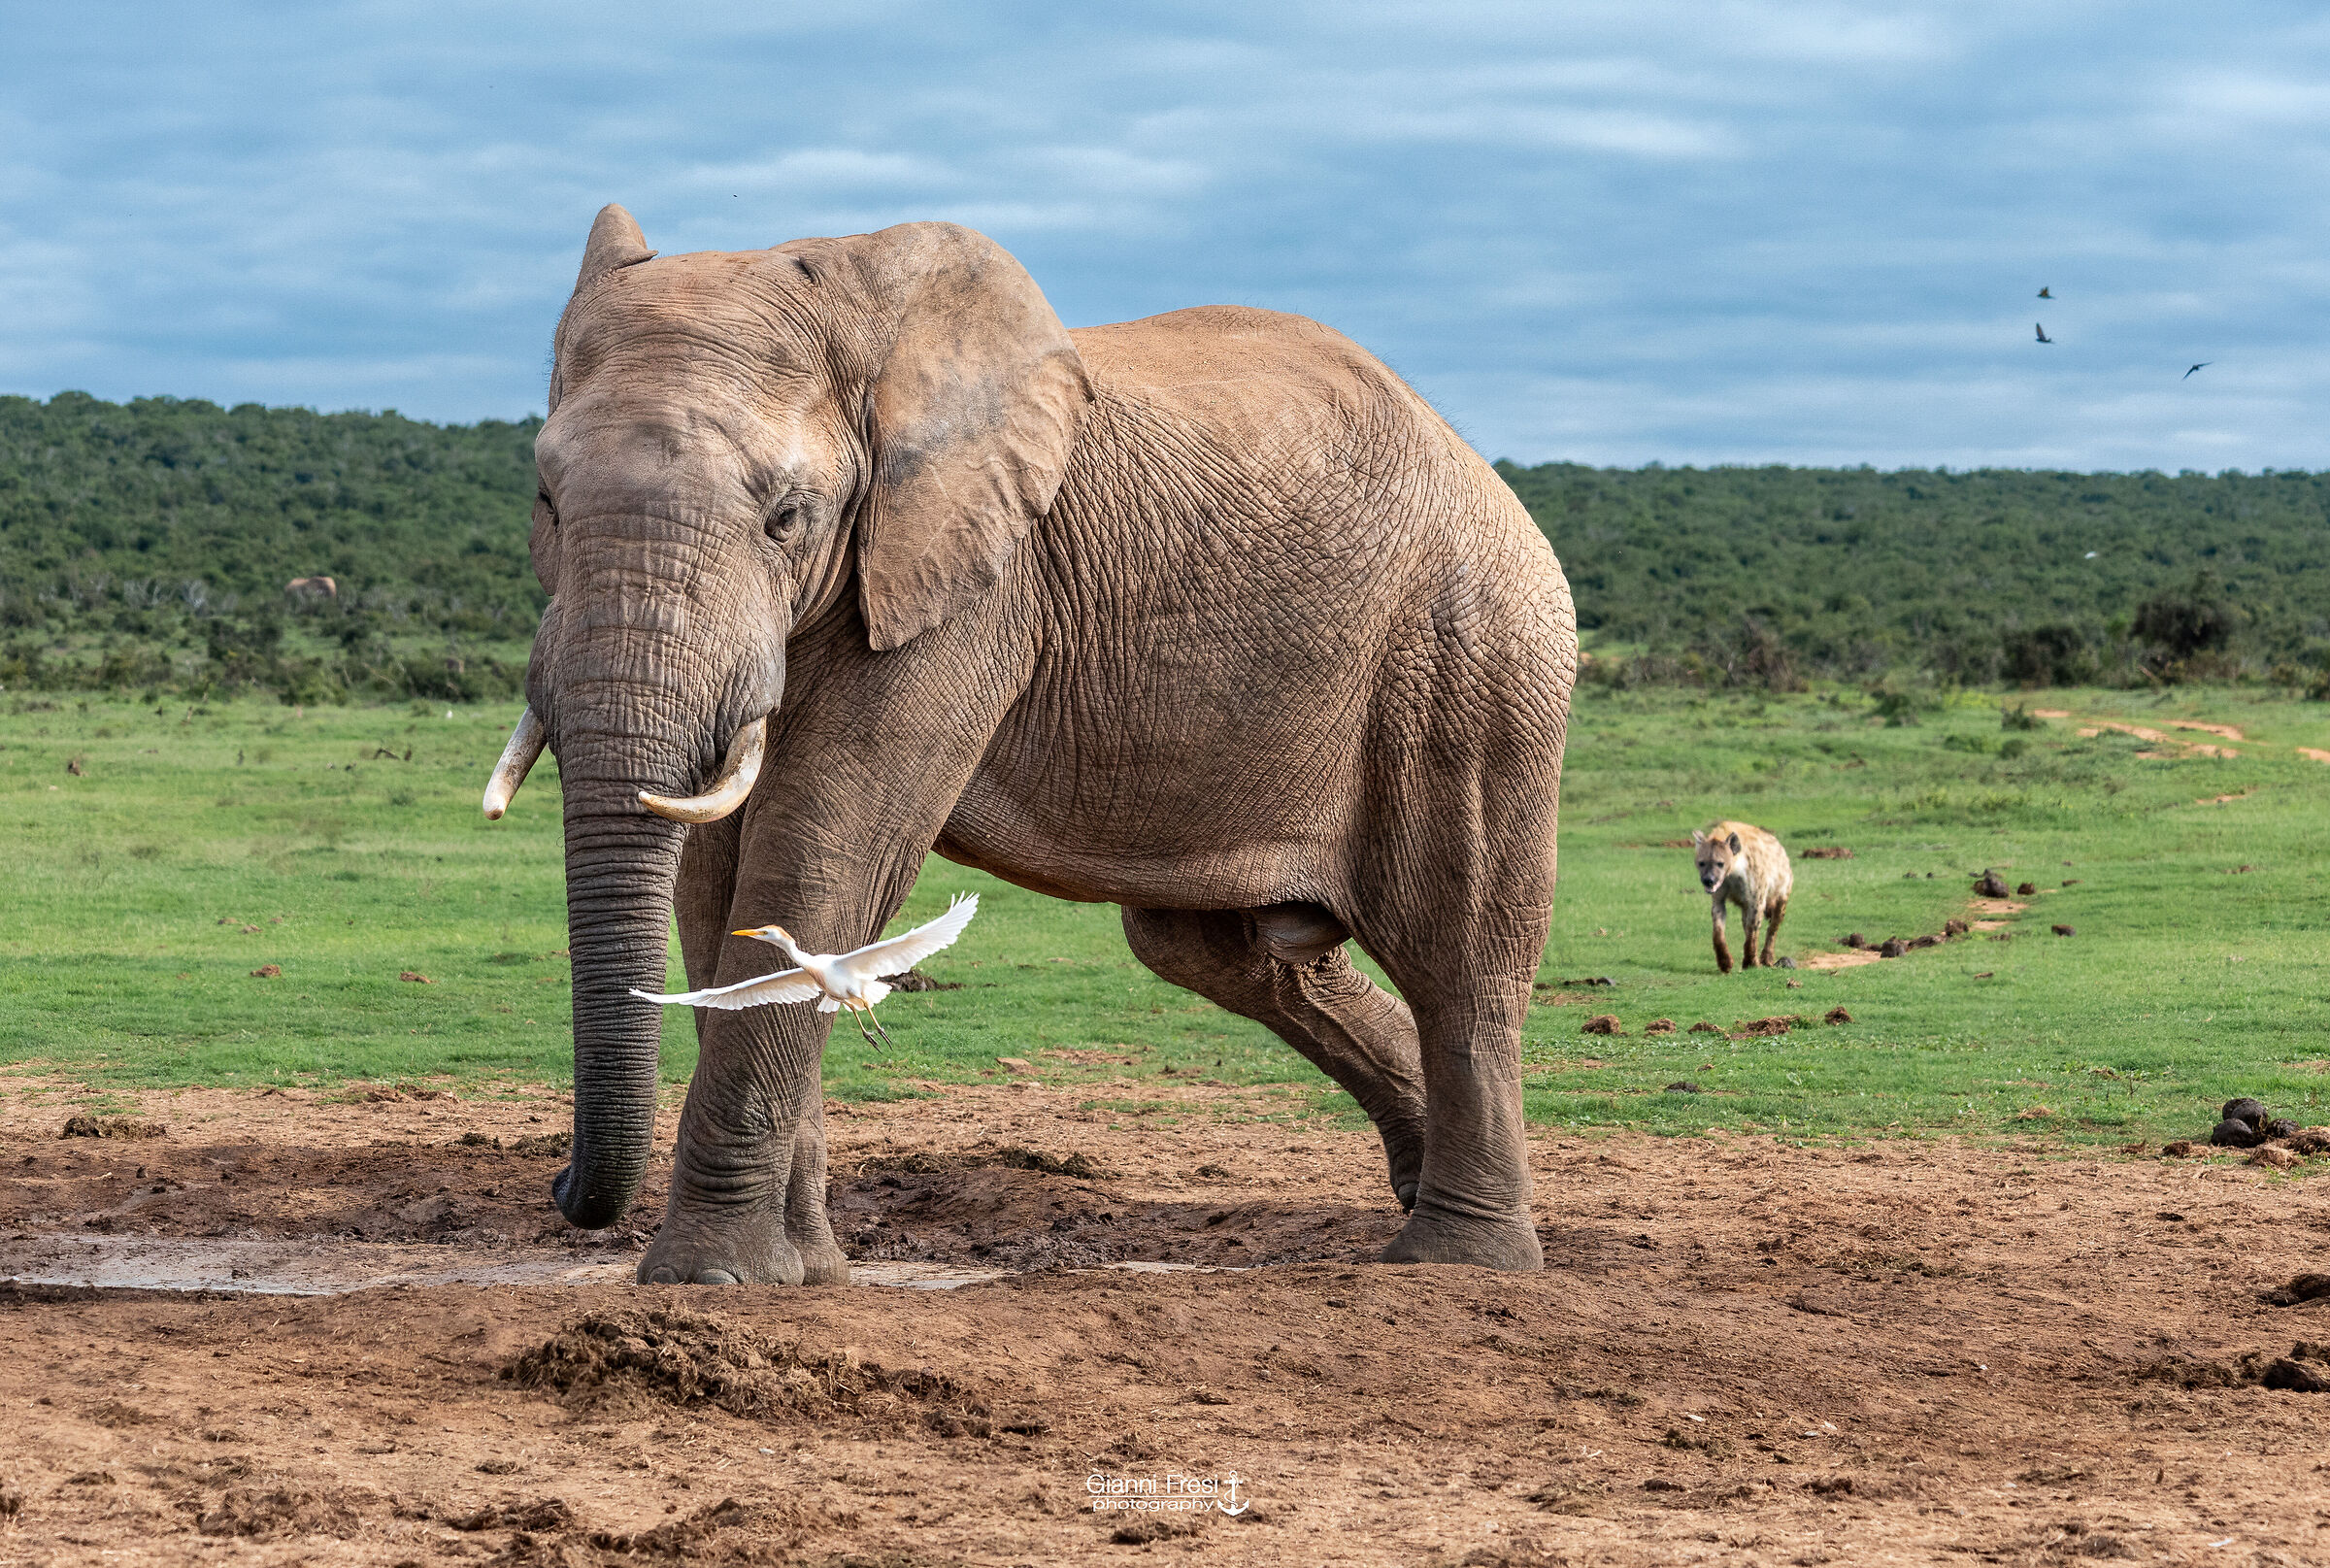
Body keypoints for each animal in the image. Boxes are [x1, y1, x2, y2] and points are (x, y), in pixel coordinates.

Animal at [481, 204, 1577, 1284]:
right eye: (545, 502)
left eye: (785, 518)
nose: (564, 1189)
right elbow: (717, 882)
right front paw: (807, 1272)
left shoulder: (977, 585)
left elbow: (819, 854)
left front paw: (710, 1279)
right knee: (1232, 955)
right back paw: (1417, 1184)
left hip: (1471, 657)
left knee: (1459, 949)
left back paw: (1460, 1258)